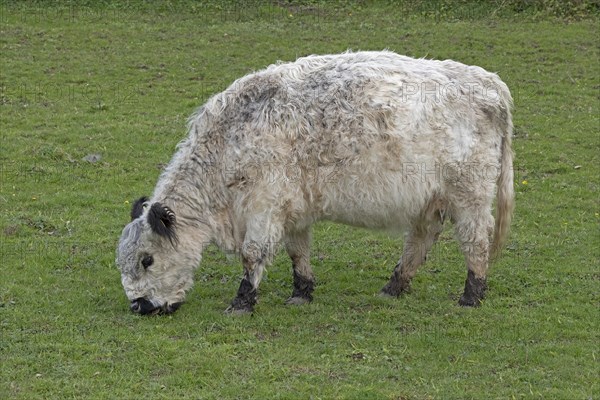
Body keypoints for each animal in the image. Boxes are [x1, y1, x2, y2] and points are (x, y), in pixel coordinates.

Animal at [117, 50, 516, 316]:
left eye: (147, 260)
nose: (139, 305)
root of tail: (489, 83)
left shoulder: (264, 204)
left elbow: (253, 254)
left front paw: (242, 302)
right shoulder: (292, 206)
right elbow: (298, 251)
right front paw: (302, 292)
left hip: (470, 194)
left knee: (476, 241)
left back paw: (471, 296)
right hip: (430, 198)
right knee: (419, 242)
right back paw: (393, 287)